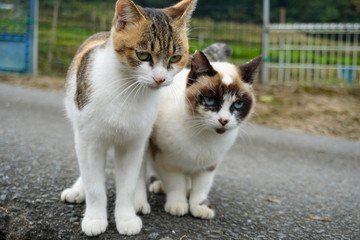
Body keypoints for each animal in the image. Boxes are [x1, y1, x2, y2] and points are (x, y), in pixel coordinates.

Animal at [61, 0, 197, 236]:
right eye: (143, 55)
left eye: (175, 58)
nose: (160, 79)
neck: (129, 92)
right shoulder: (89, 140)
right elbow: (94, 184)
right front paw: (95, 218)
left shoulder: (134, 143)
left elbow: (128, 184)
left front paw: (126, 217)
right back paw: (79, 190)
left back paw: (139, 201)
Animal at [136, 50, 262, 218]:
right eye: (209, 101)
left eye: (238, 104)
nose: (224, 120)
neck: (203, 134)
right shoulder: (168, 162)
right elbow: (176, 184)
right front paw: (178, 205)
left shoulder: (208, 165)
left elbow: (201, 188)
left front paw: (199, 207)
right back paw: (159, 186)